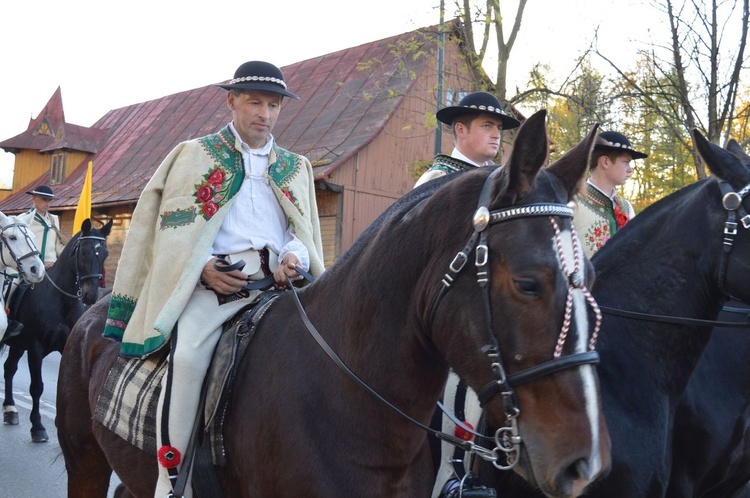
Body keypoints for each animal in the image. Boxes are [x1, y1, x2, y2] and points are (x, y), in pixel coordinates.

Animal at [2, 218, 111, 440]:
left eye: (105, 253)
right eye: (83, 252)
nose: (91, 296)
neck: (61, 300)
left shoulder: (65, 346)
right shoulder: (35, 349)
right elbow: (37, 387)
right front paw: (38, 426)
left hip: (17, 345)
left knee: (9, 369)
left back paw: (10, 409)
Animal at [57, 112, 612, 498]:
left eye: (591, 279)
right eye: (528, 283)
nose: (585, 464)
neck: (348, 397)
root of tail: (93, 316)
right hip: (84, 462)